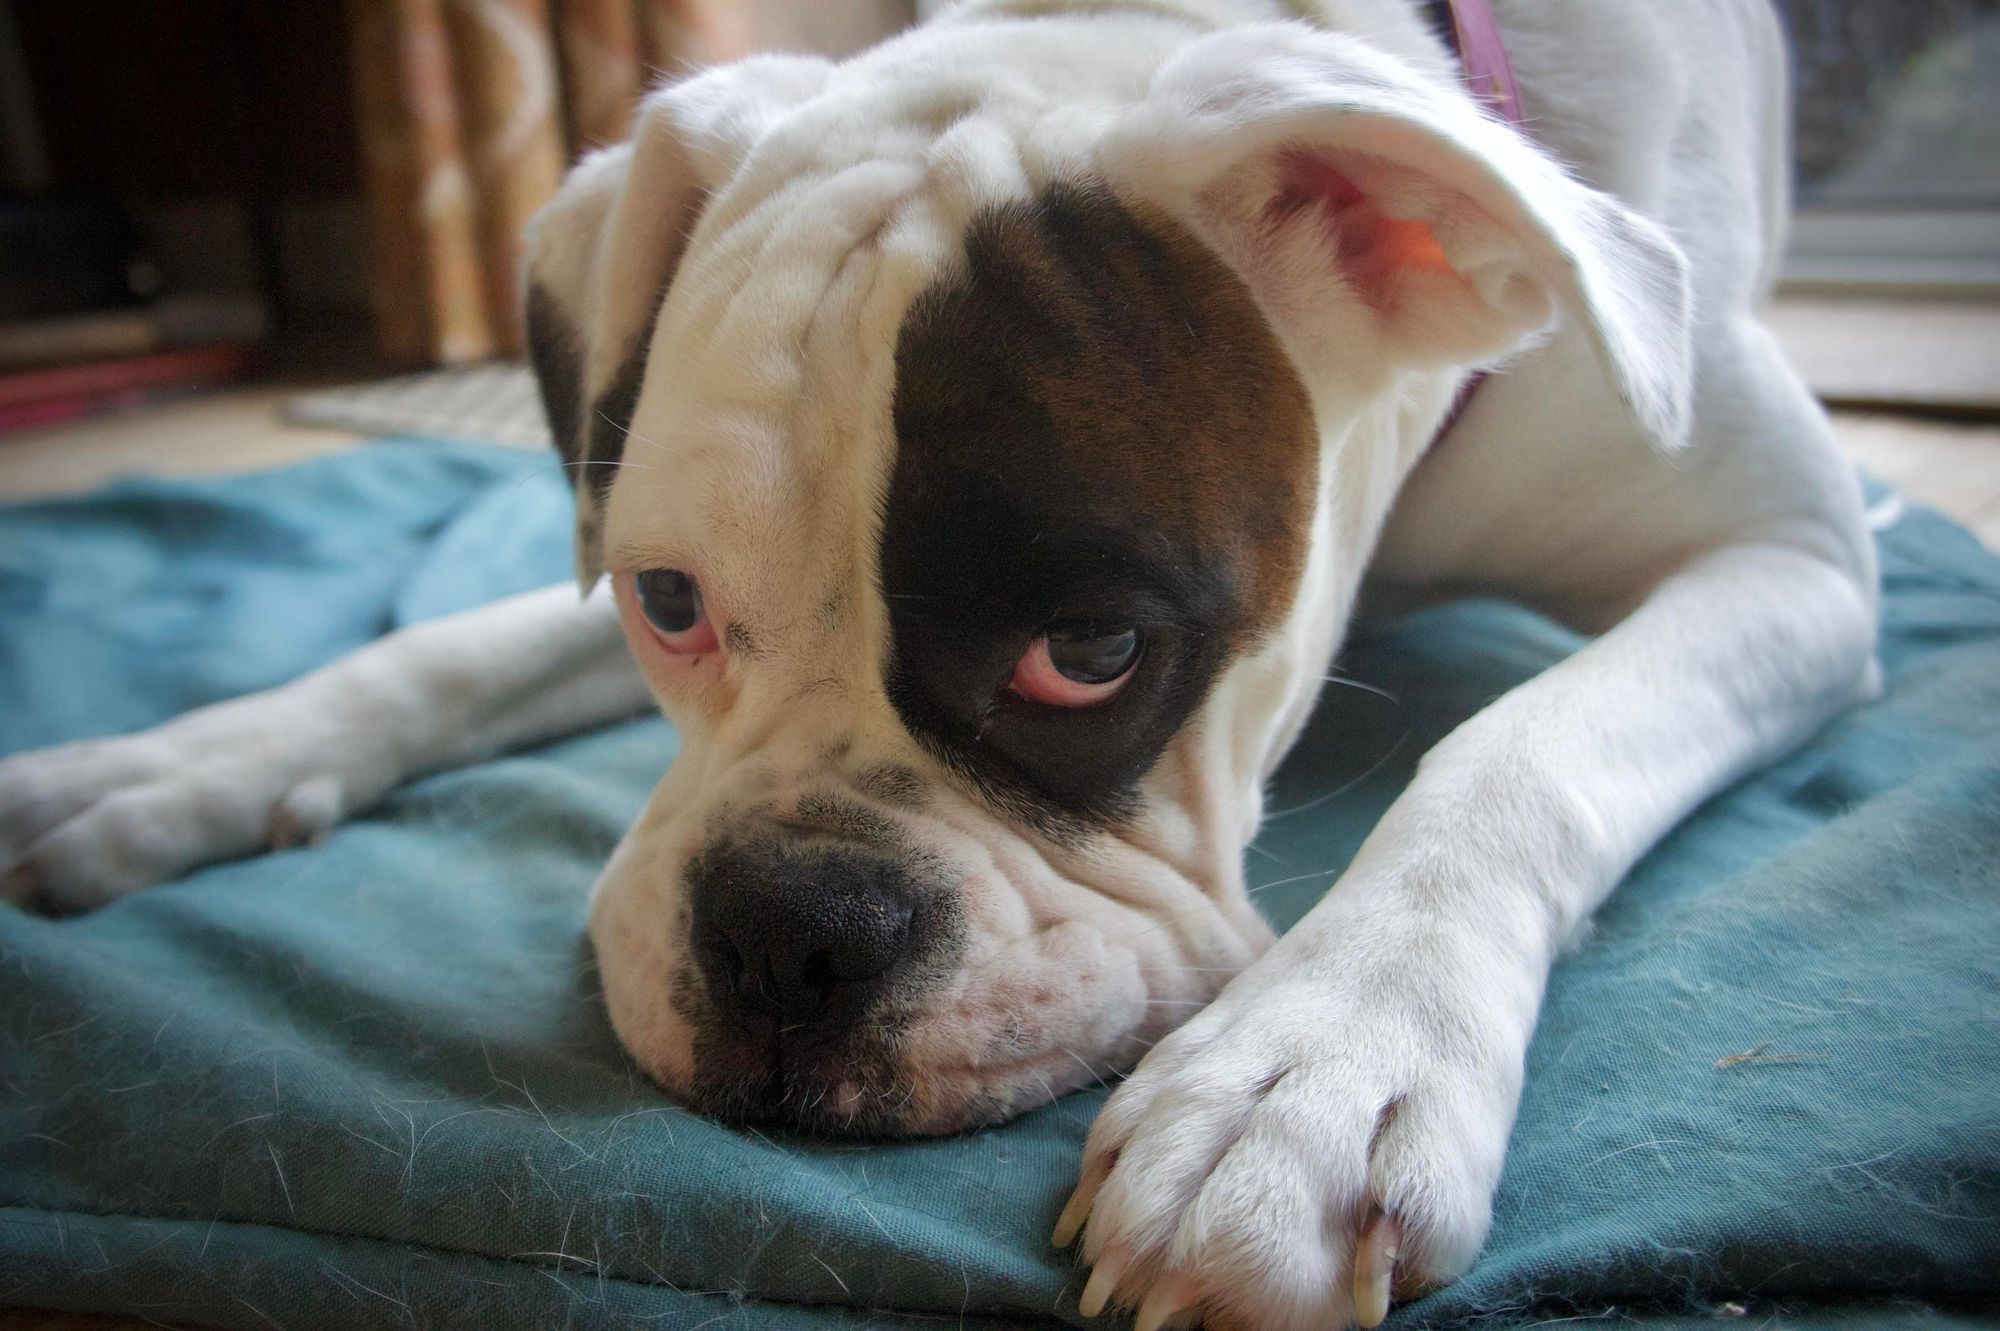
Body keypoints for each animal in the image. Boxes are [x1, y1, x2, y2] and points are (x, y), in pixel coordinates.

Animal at [0, 5, 1880, 1319]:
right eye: (666, 601)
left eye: (1094, 649)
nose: (788, 932)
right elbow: (452, 648)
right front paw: (166, 764)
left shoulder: (1800, 560)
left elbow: (1520, 745)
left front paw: (1314, 1071)